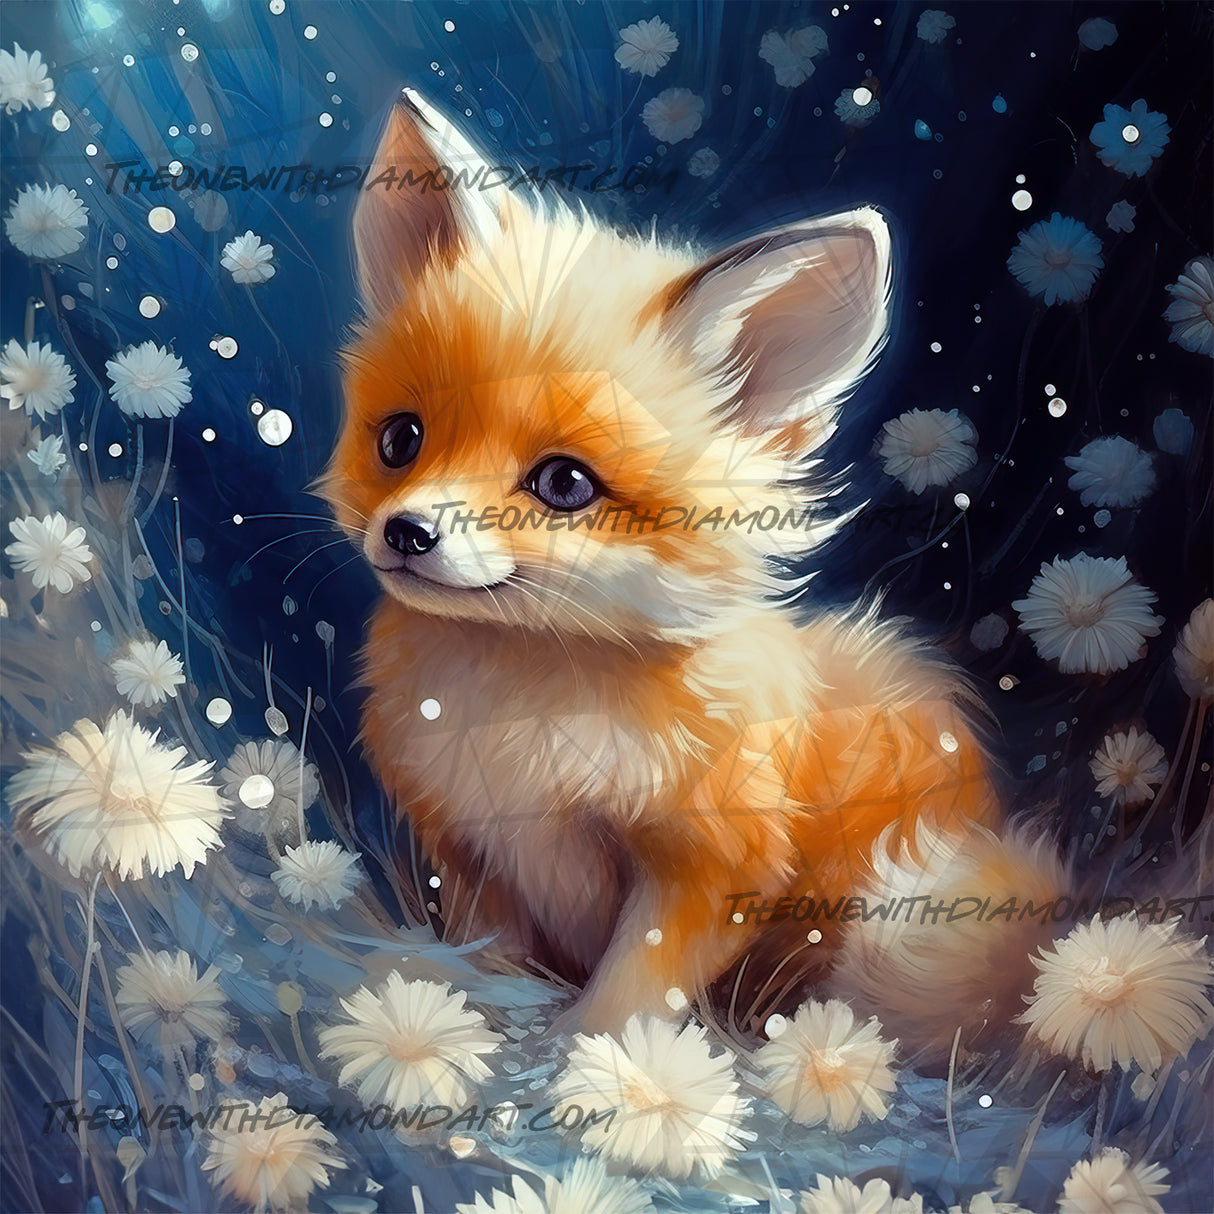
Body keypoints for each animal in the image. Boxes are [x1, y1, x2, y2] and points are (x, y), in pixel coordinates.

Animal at [322, 90, 1066, 1060]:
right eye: (400, 440)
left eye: (564, 485)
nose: (406, 532)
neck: (528, 717)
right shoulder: (472, 848)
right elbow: (491, 962)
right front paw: (481, 1024)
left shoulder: (713, 865)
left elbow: (627, 996)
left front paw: (596, 1070)